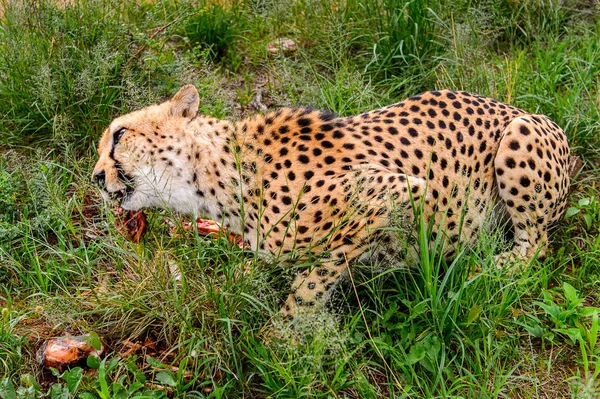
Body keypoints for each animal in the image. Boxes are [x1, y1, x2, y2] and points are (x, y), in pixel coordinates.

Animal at [91, 86, 568, 320]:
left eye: (119, 135)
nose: (96, 177)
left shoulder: (396, 191)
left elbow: (312, 282)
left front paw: (281, 337)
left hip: (519, 137)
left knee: (536, 246)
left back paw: (484, 267)